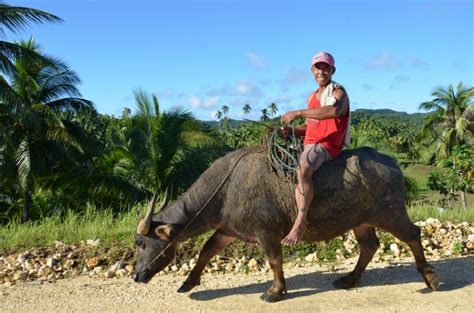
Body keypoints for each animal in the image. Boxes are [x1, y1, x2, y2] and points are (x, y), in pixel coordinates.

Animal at [131, 146, 438, 300]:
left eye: (142, 243)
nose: (136, 275)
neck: (226, 189)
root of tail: (391, 163)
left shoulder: (266, 232)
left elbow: (274, 260)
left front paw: (276, 291)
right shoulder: (228, 230)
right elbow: (206, 251)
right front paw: (188, 283)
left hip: (391, 213)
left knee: (413, 234)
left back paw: (430, 278)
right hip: (361, 221)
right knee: (370, 246)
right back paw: (349, 279)